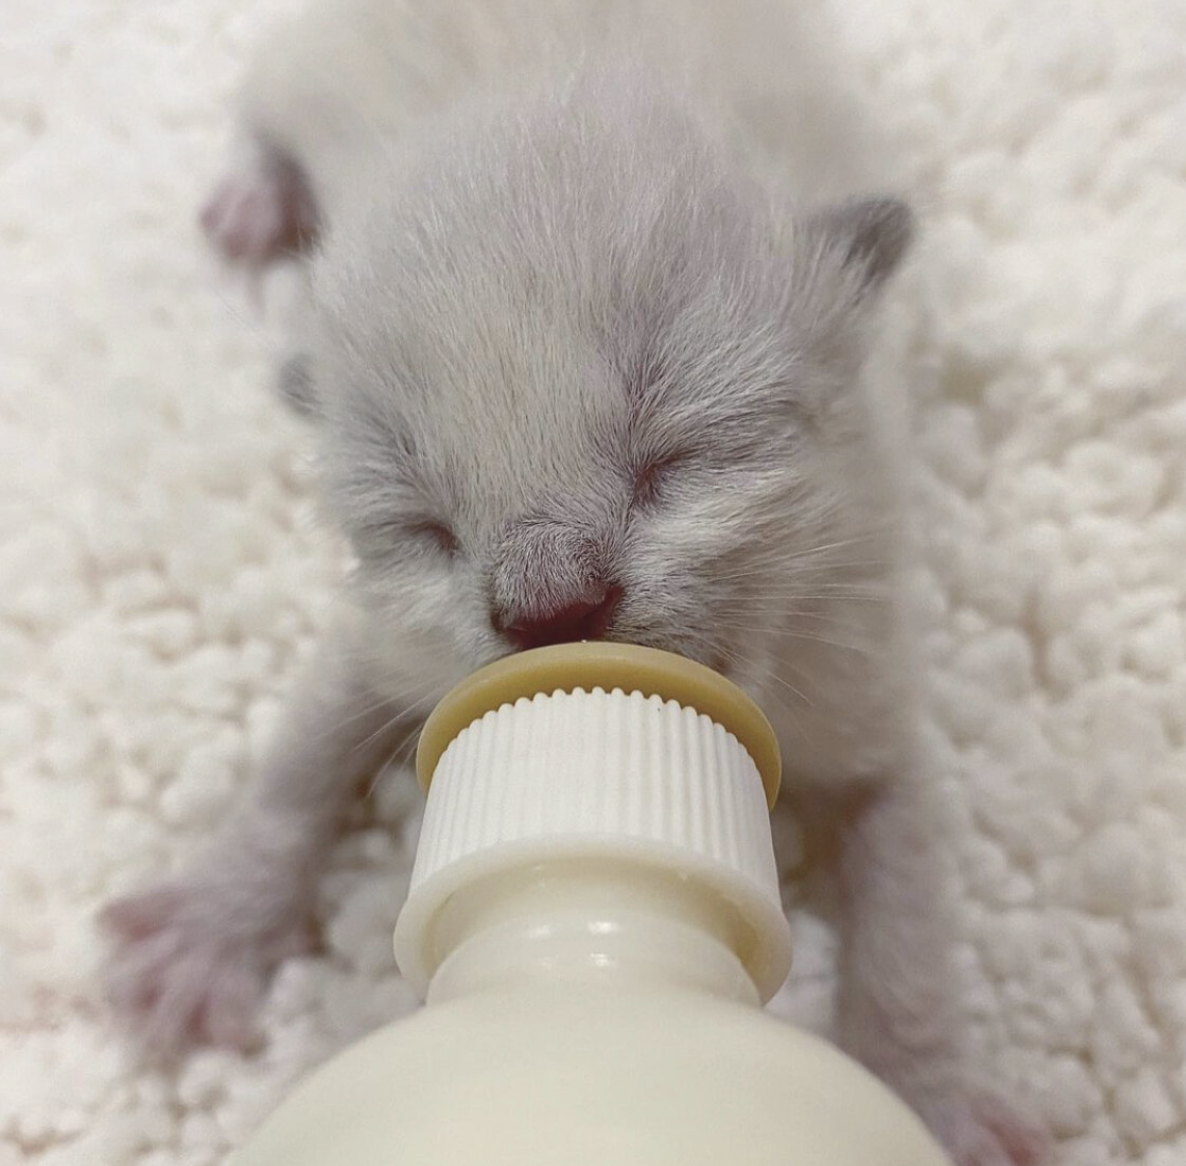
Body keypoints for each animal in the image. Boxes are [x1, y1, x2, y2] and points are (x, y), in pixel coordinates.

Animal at [104, 4, 1048, 1162]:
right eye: (424, 526)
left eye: (675, 460)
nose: (549, 609)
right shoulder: (390, 637)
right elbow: (297, 764)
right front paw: (206, 931)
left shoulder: (859, 644)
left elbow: (907, 920)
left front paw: (932, 1095)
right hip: (312, 59)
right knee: (259, 100)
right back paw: (249, 204)